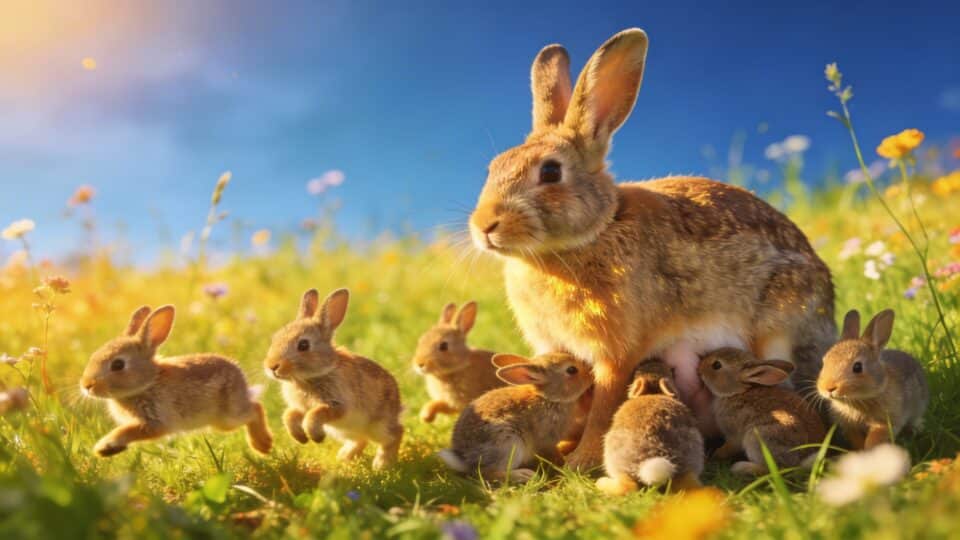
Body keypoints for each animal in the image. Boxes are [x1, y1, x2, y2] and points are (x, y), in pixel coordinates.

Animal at [80, 305, 273, 457]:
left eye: (118, 365)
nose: (86, 385)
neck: (149, 382)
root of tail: (239, 374)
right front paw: (108, 449)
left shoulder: (155, 421)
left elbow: (128, 430)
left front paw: (104, 446)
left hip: (229, 415)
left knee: (256, 408)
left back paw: (263, 445)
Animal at [264, 288, 403, 469]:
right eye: (275, 339)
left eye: (303, 345)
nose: (272, 366)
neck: (307, 378)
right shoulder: (300, 407)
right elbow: (289, 415)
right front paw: (301, 437)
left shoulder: (338, 404)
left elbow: (317, 412)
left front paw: (314, 436)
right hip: (343, 431)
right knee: (361, 439)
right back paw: (344, 457)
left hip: (379, 425)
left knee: (395, 434)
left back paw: (382, 464)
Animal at [438, 352, 592, 482]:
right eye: (571, 370)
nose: (590, 375)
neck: (548, 397)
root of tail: (466, 459)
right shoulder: (546, 440)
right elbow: (553, 453)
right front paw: (565, 465)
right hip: (508, 442)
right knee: (487, 473)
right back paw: (523, 475)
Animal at [466, 27, 835, 468]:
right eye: (492, 169)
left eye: (551, 172)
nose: (484, 226)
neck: (595, 232)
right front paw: (564, 448)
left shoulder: (616, 351)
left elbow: (604, 404)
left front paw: (580, 461)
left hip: (778, 332)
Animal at [817, 309, 928, 450]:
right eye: (824, 363)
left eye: (857, 367)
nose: (828, 388)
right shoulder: (850, 428)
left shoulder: (885, 422)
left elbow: (875, 437)